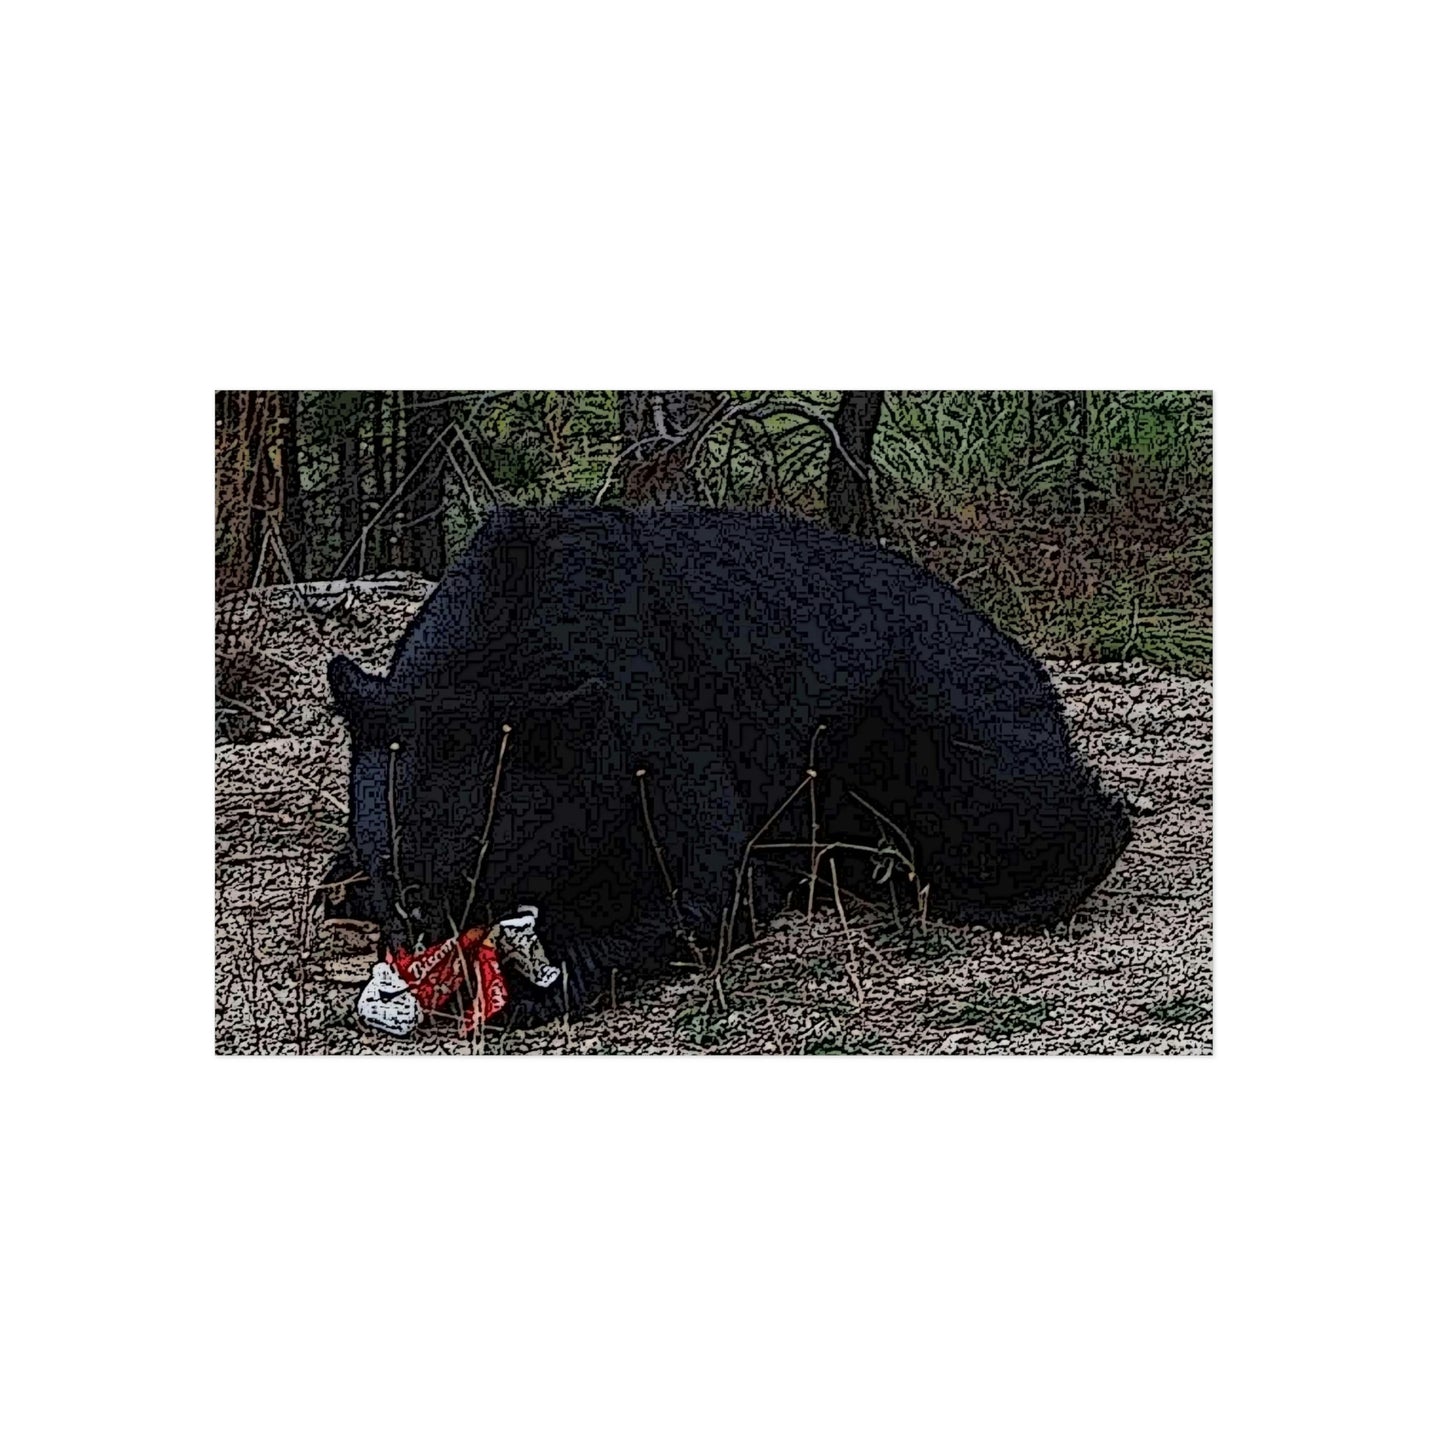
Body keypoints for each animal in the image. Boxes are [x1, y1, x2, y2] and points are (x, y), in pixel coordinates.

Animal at [327, 504, 1131, 1027]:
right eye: (396, 871)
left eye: (480, 870)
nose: (424, 950)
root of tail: (1028, 662)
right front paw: (346, 885)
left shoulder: (644, 710)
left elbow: (708, 879)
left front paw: (538, 980)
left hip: (930, 719)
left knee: (1013, 810)